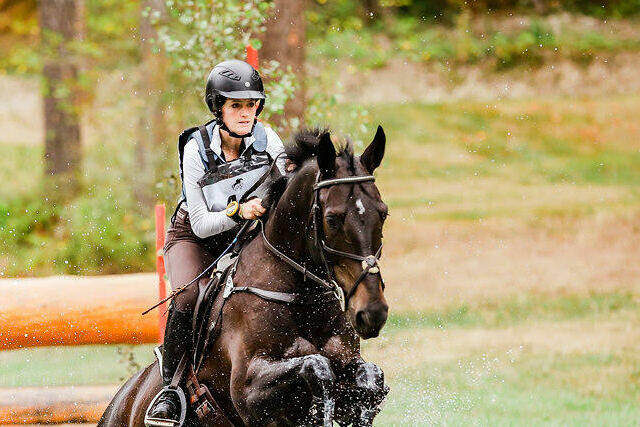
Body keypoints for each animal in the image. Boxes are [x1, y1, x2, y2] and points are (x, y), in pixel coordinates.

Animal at [100, 126, 390, 424]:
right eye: (332, 219)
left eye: (383, 213)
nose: (373, 313)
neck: (298, 295)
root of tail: (120, 400)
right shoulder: (249, 393)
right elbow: (316, 366)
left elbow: (370, 377)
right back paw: (165, 403)